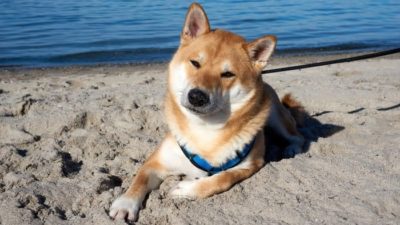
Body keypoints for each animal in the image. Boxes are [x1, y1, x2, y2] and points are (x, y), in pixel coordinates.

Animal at [108, 2, 304, 222]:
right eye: (195, 63)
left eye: (227, 74)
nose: (197, 96)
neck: (204, 129)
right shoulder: (157, 161)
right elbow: (139, 178)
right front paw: (126, 203)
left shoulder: (250, 165)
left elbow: (222, 179)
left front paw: (186, 189)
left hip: (276, 119)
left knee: (298, 136)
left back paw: (291, 149)